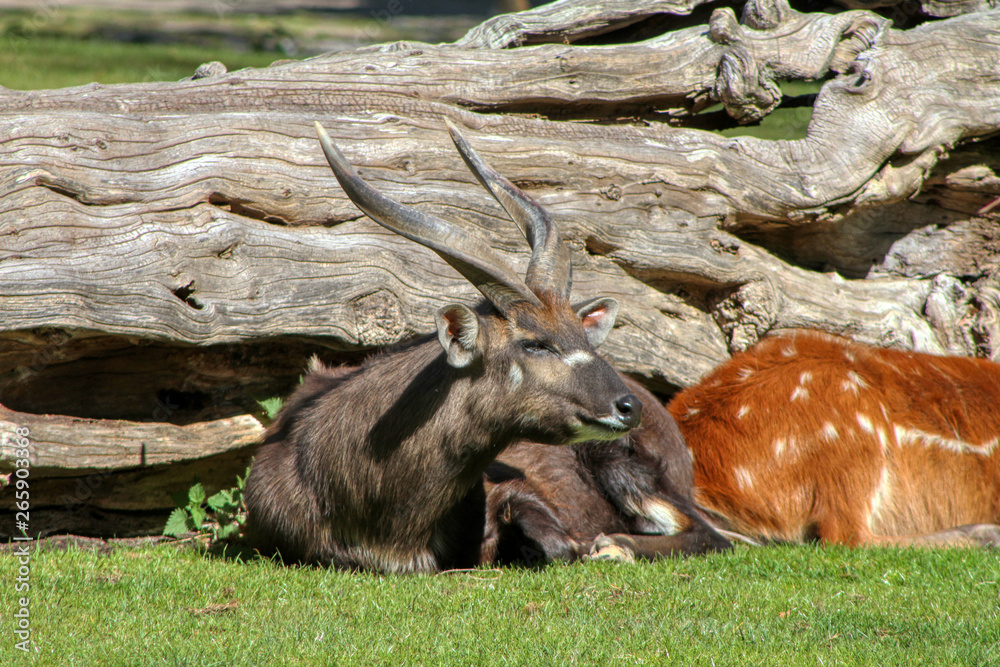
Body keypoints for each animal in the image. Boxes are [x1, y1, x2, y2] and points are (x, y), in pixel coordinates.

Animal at [244, 120, 731, 571]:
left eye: (579, 332)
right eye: (534, 343)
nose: (628, 407)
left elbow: (558, 547)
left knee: (714, 535)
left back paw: (614, 546)